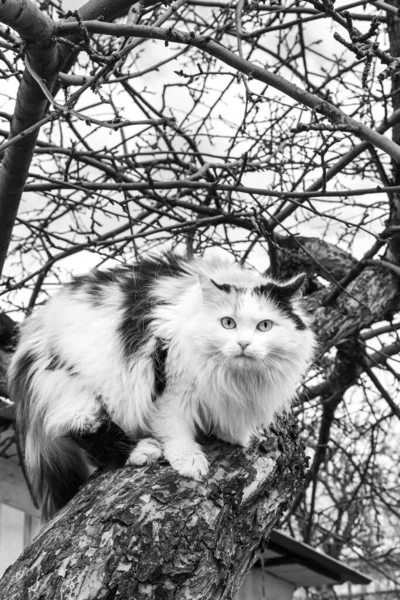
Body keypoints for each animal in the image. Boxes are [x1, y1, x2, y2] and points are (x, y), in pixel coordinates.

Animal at [7, 251, 316, 516]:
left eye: (265, 326)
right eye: (228, 323)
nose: (243, 344)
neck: (237, 379)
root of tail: (32, 329)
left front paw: (231, 434)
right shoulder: (170, 378)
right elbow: (174, 427)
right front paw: (189, 460)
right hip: (77, 384)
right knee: (79, 425)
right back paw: (140, 451)